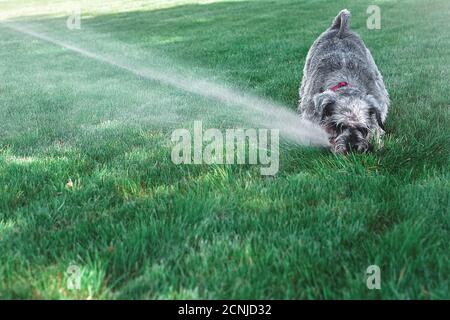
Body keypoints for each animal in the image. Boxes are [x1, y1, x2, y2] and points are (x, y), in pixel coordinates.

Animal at [298, 9, 388, 154]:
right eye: (337, 126)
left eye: (363, 128)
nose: (352, 148)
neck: (345, 81)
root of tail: (340, 28)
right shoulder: (311, 111)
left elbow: (376, 124)